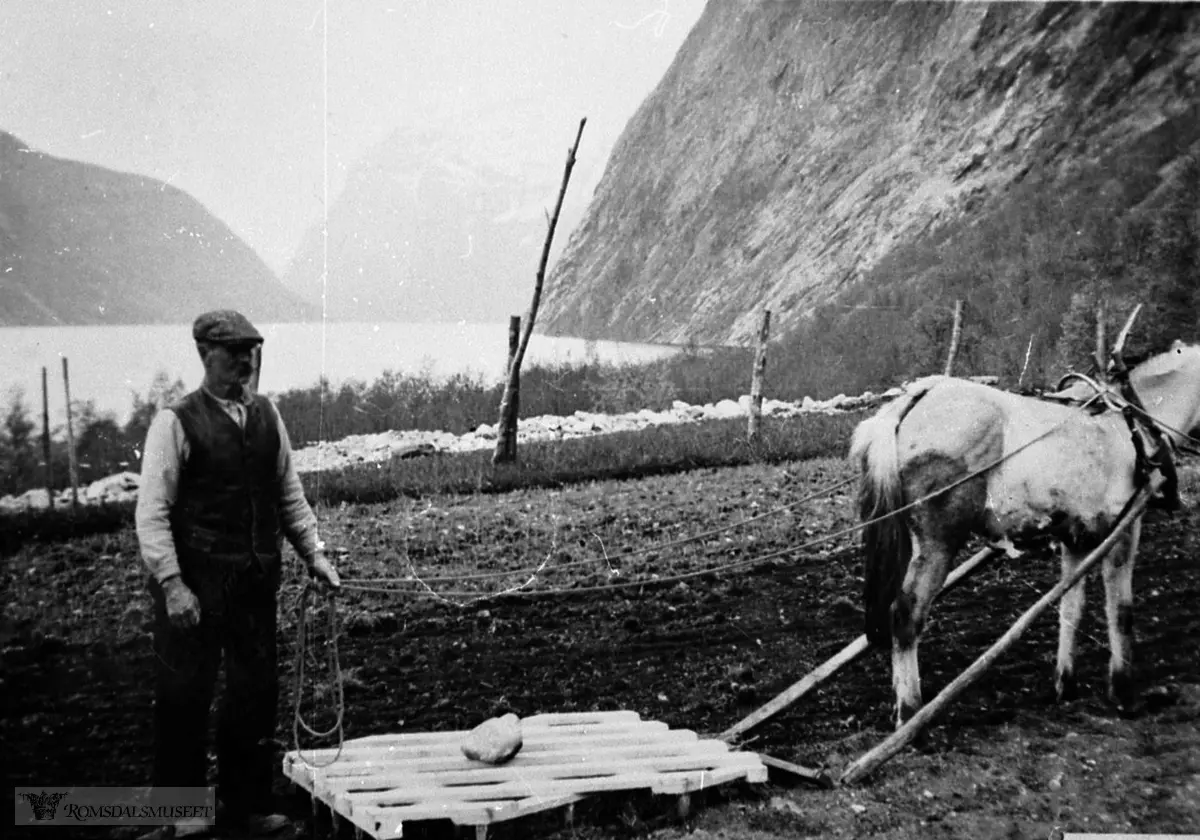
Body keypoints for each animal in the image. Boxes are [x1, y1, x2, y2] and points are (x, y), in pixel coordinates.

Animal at [854, 340, 1200, 729]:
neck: (1131, 425)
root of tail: (917, 397)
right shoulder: (1124, 529)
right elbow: (1121, 610)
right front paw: (1124, 693)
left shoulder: (1077, 539)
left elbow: (1070, 606)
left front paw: (1065, 684)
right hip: (938, 543)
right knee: (906, 615)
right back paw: (912, 715)